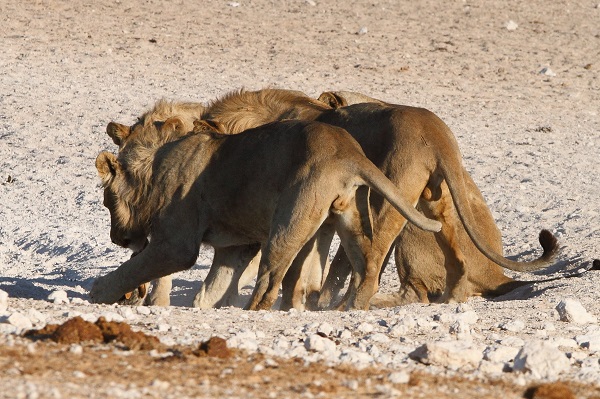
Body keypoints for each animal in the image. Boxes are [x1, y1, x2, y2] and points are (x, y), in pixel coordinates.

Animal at [91, 117, 442, 310]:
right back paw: (350, 309)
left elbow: (134, 269)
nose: (117, 239)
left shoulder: (177, 244)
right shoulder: (235, 246)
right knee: (367, 269)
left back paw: (250, 311)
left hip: (287, 225)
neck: (153, 168)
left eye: (107, 203)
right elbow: (212, 288)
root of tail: (350, 154)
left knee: (269, 285)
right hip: (352, 220)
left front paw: (99, 292)